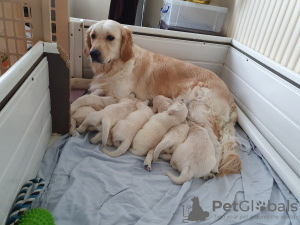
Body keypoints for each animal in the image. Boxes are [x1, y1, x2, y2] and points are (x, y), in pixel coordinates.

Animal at [78, 19, 240, 176]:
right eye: (93, 36)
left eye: (110, 37)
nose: (93, 53)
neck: (115, 66)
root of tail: (231, 99)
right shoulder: (96, 82)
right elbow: (77, 80)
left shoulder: (119, 95)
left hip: (198, 111)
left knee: (217, 143)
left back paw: (213, 169)